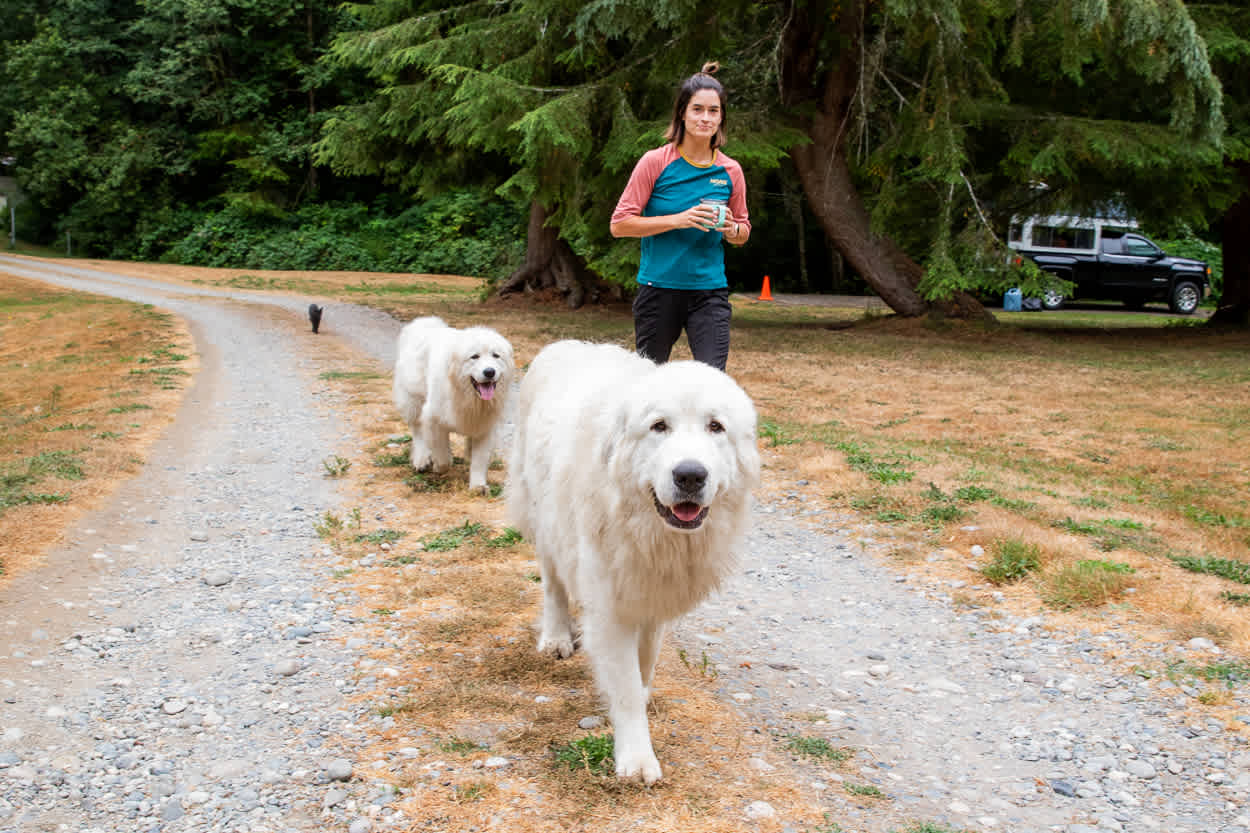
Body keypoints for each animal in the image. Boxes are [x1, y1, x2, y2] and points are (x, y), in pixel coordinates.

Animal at [387, 315, 510, 490]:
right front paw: (439, 466)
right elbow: (442, 454)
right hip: (414, 401)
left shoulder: (485, 425)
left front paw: (478, 486)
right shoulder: (434, 419)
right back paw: (421, 460)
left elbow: (479, 460)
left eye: (496, 356)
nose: (489, 372)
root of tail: (425, 323)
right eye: (475, 356)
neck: (466, 396)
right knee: (418, 432)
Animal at [507, 337, 760, 780]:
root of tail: (566, 342)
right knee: (553, 586)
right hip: (545, 521)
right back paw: (556, 636)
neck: (651, 529)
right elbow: (624, 687)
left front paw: (642, 700)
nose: (690, 475)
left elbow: (644, 665)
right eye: (659, 426)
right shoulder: (611, 608)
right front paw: (636, 756)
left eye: (716, 427)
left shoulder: (652, 594)